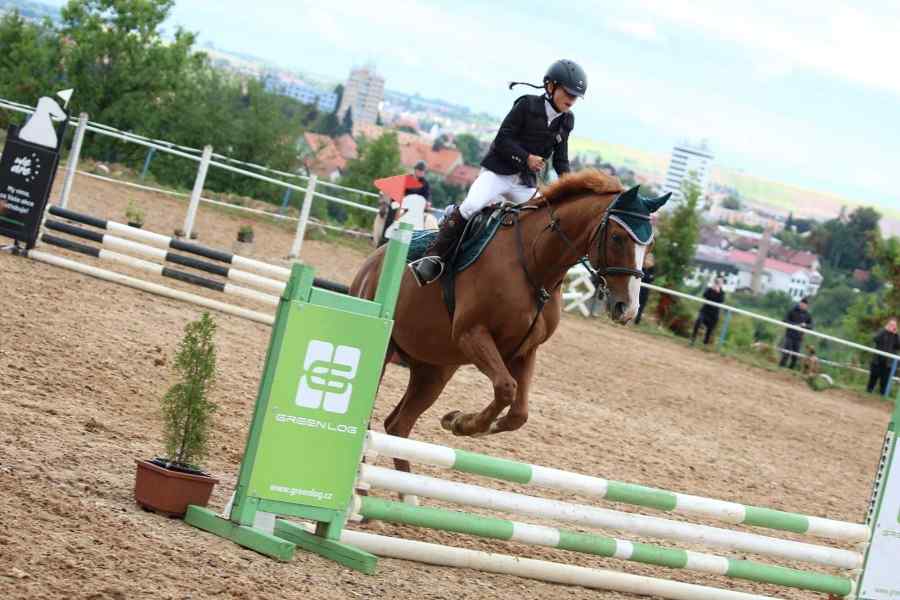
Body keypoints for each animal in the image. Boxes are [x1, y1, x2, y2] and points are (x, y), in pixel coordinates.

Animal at [352, 169, 668, 474]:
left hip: (434, 368)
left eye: (651, 245)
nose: (627, 308)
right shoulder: (472, 334)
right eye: (617, 238)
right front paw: (464, 424)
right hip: (389, 352)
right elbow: (505, 388)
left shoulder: (524, 351)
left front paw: (459, 420)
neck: (535, 265)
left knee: (398, 425)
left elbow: (519, 414)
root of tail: (374, 258)